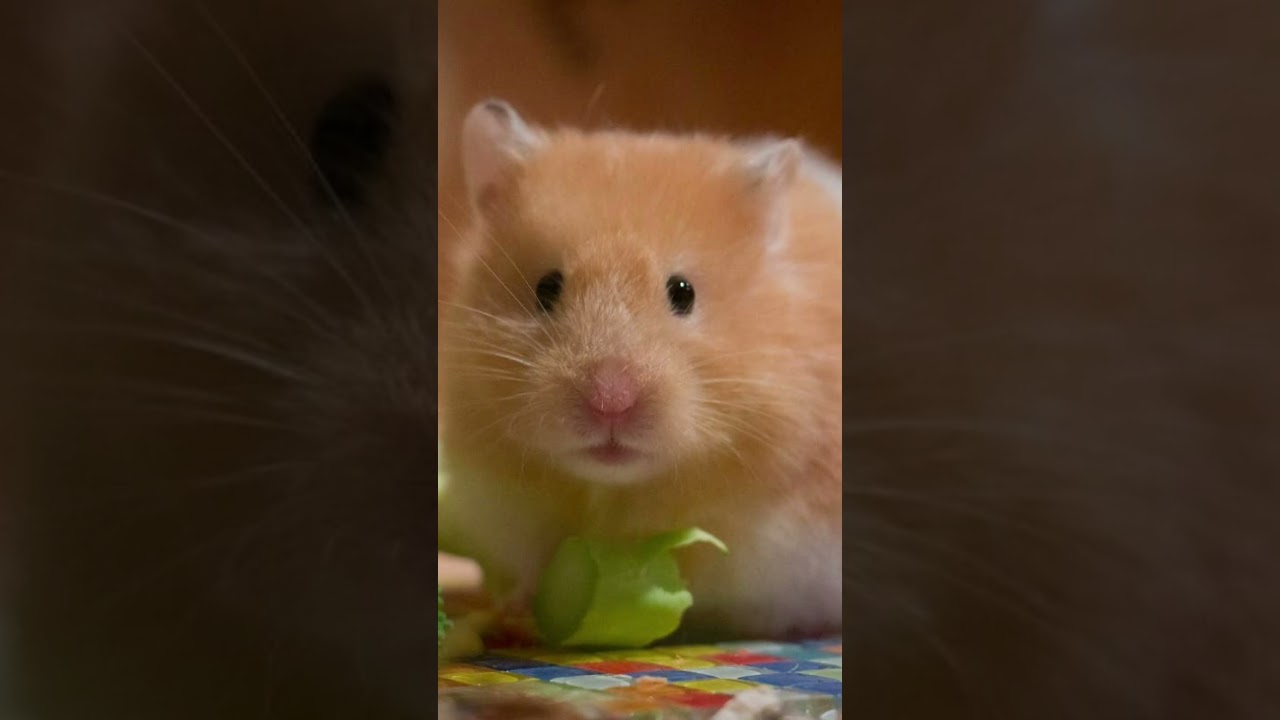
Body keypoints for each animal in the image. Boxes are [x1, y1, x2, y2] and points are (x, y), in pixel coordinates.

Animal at [437, 100, 842, 640]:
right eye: (546, 287)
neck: (616, 491)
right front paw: (522, 608)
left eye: (682, 292)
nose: (611, 402)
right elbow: (531, 564)